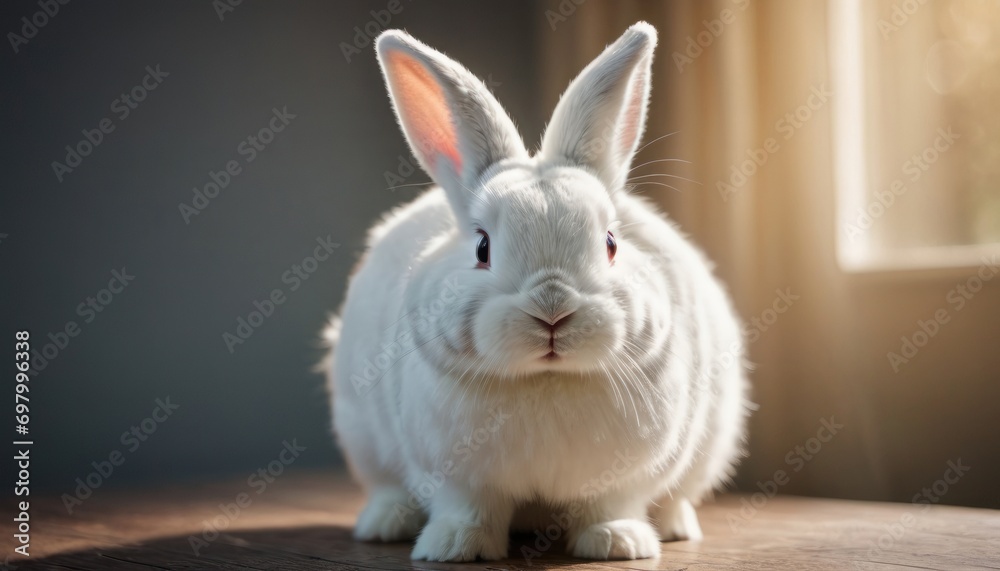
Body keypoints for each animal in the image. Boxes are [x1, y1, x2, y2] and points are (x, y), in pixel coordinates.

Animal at [326, 21, 751, 562]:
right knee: (386, 487)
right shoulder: (457, 477)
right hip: (362, 438)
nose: (552, 311)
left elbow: (609, 505)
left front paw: (618, 543)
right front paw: (455, 548)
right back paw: (386, 524)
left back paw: (674, 527)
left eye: (610, 243)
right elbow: (468, 508)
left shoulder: (623, 478)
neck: (545, 380)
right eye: (483, 247)